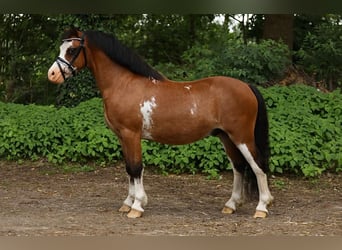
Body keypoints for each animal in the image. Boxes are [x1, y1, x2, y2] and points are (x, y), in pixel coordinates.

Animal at [48, 27, 274, 219]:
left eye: (72, 49)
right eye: (61, 48)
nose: (52, 74)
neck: (124, 84)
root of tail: (247, 86)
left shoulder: (131, 134)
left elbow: (136, 168)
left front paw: (137, 206)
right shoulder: (122, 136)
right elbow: (128, 168)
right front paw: (128, 203)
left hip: (242, 137)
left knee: (257, 165)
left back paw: (262, 207)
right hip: (226, 137)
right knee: (239, 167)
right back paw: (231, 205)